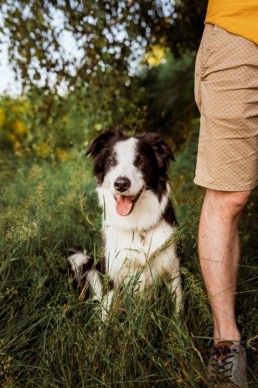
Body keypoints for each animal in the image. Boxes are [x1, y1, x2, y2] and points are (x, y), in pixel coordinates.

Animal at [68, 129, 181, 320]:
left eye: (141, 161)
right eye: (112, 161)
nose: (121, 184)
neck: (137, 226)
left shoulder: (172, 265)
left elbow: (178, 307)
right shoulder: (112, 273)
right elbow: (106, 314)